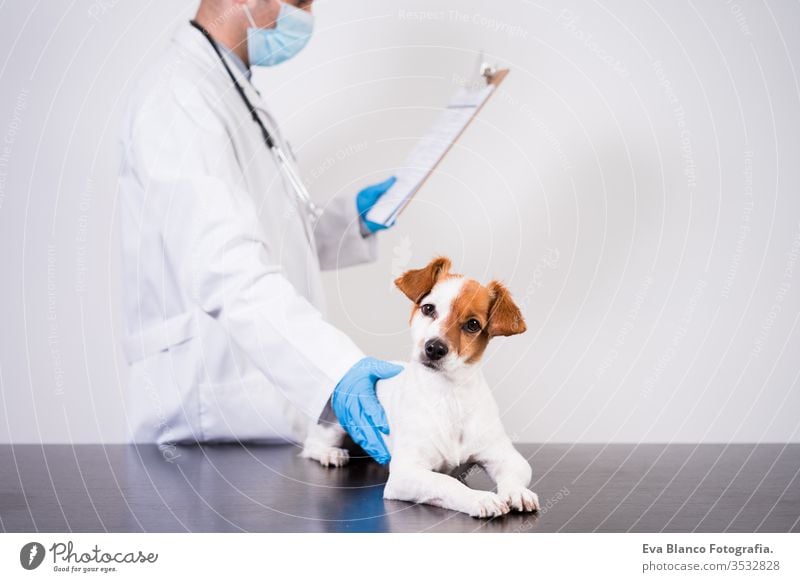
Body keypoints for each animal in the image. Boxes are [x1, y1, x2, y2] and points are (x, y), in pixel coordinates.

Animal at [300, 258, 536, 516]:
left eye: (473, 324)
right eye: (428, 309)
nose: (434, 347)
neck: (448, 394)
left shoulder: (507, 457)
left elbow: (513, 474)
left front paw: (517, 492)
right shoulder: (405, 474)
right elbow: (446, 482)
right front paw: (479, 498)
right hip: (336, 422)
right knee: (311, 445)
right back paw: (329, 453)